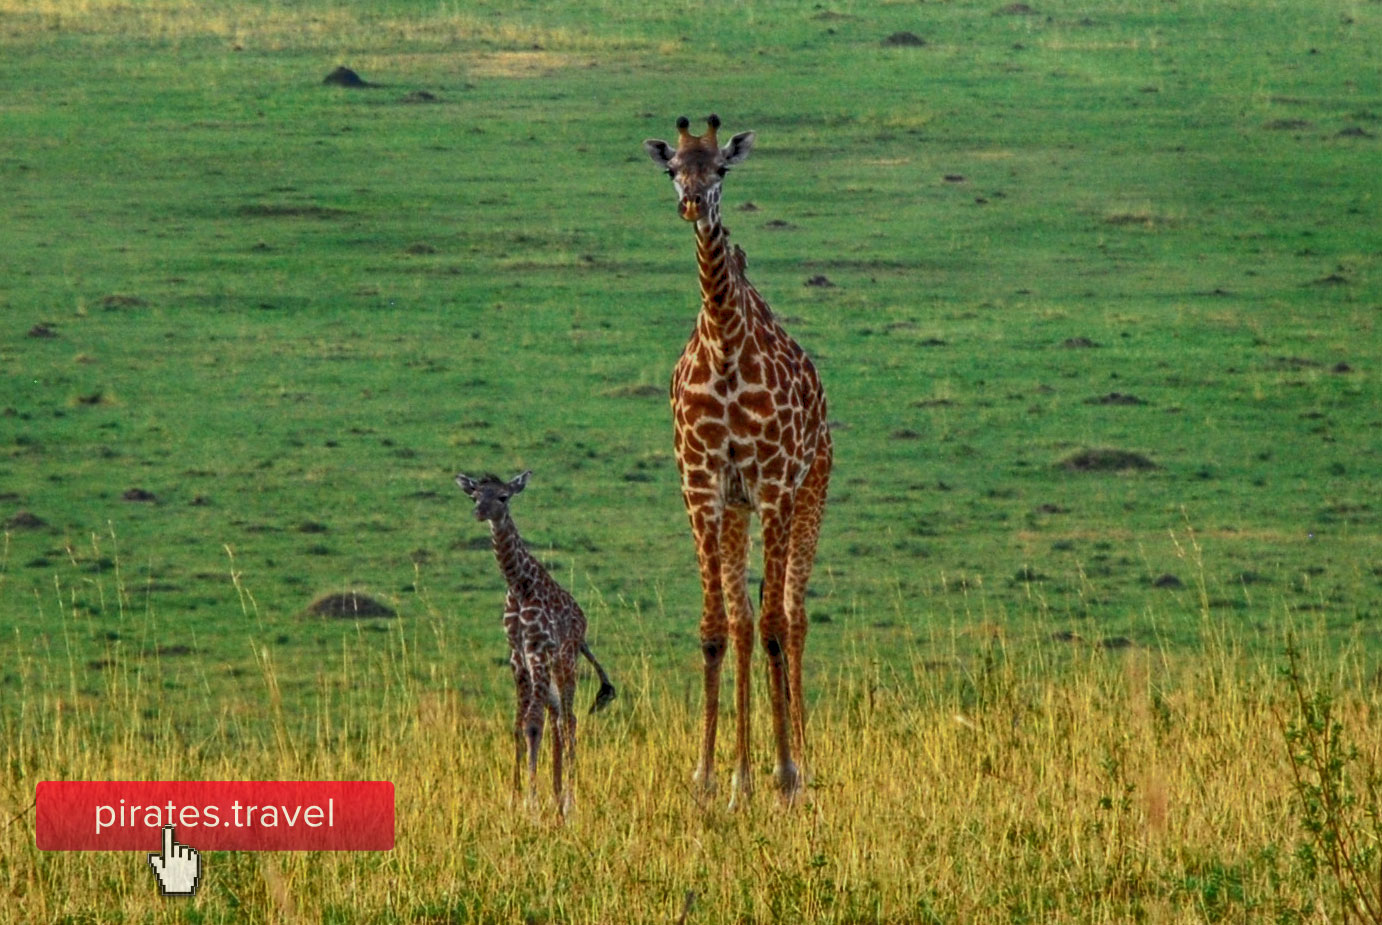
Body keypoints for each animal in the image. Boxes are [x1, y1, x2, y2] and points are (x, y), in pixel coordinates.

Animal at [455, 470, 617, 816]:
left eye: (503, 497)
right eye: (474, 495)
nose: (479, 513)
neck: (519, 584)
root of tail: (583, 624)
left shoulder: (538, 649)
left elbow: (532, 723)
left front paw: (531, 803)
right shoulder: (518, 655)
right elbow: (519, 724)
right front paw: (515, 798)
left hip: (566, 660)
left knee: (568, 719)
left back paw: (569, 800)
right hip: (550, 667)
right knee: (558, 718)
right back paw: (557, 795)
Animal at [644, 114, 832, 806]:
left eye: (722, 167)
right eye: (673, 169)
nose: (693, 204)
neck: (724, 344)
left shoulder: (774, 481)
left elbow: (777, 623)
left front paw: (787, 776)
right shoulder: (701, 485)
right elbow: (716, 628)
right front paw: (708, 776)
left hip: (810, 491)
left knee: (793, 618)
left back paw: (798, 757)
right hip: (737, 510)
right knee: (746, 619)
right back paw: (741, 773)